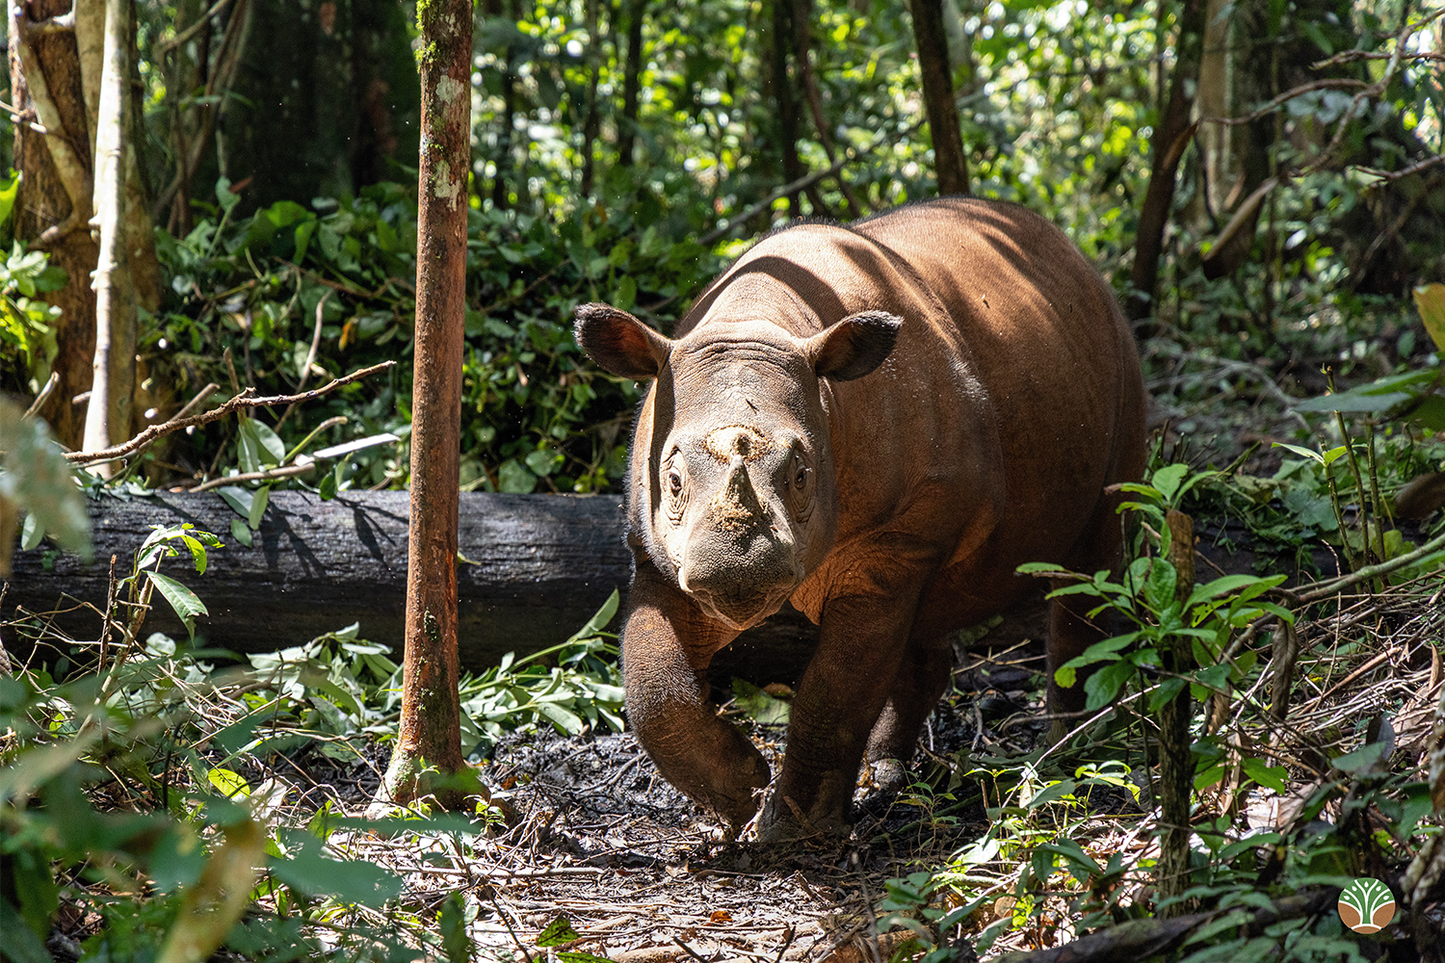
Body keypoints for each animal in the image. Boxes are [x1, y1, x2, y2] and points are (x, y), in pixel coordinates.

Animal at [573, 197, 1146, 840]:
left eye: (802, 474)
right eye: (672, 480)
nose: (737, 573)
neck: (762, 326)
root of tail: (1074, 254)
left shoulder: (893, 540)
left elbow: (836, 690)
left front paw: (795, 829)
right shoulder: (658, 554)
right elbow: (654, 691)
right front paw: (744, 796)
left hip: (1121, 365)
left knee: (1092, 555)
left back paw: (1071, 751)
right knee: (931, 617)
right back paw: (889, 775)